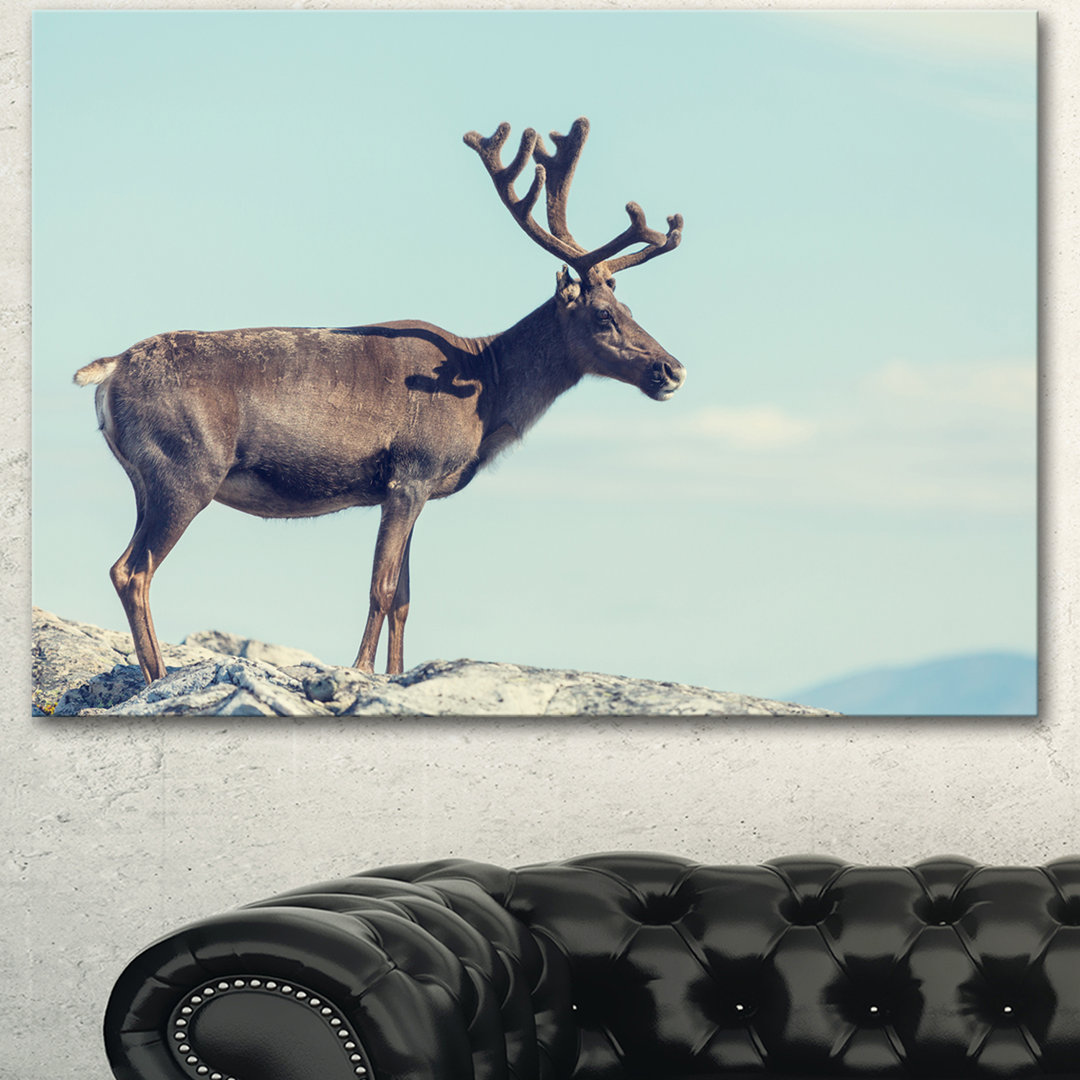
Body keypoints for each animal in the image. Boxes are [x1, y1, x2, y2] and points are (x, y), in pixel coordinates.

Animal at [74, 117, 686, 684]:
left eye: (632, 310)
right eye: (604, 316)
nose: (672, 369)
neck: (486, 390)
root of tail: (110, 369)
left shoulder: (416, 488)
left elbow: (407, 599)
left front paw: (396, 672)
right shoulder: (410, 472)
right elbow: (383, 586)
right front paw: (362, 668)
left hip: (145, 479)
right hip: (186, 470)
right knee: (133, 570)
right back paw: (158, 676)